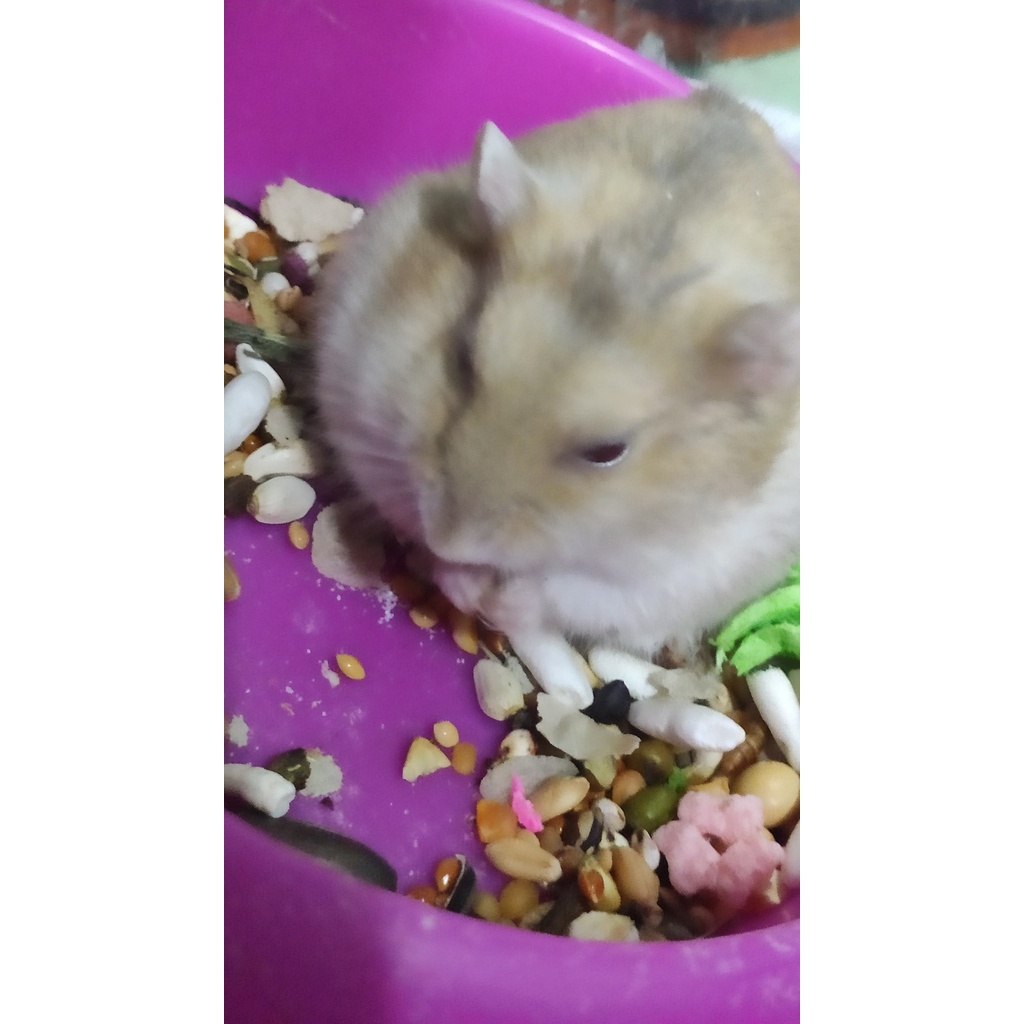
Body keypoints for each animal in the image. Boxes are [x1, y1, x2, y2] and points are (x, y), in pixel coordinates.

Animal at [312, 88, 799, 709]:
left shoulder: (679, 568)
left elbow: (570, 587)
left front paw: (491, 597)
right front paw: (459, 578)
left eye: (607, 451)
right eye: (463, 358)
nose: (449, 537)